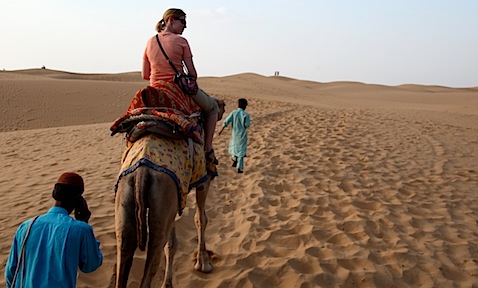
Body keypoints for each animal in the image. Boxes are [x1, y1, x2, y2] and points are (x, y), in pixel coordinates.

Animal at [115, 98, 225, 286]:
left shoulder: (175, 198)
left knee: (126, 247)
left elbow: (171, 244)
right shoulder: (203, 181)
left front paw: (168, 284)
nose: (222, 107)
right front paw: (203, 263)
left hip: (128, 201)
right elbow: (200, 219)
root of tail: (141, 173)